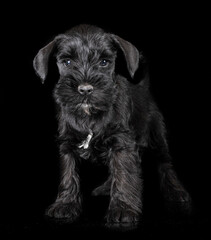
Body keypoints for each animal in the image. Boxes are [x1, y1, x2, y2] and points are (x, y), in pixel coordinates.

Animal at [33, 24, 191, 223]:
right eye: (67, 62)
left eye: (104, 62)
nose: (85, 89)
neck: (89, 117)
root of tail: (144, 89)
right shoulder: (67, 144)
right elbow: (68, 174)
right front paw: (65, 204)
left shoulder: (121, 143)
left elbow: (123, 173)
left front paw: (122, 208)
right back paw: (105, 188)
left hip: (157, 138)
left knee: (165, 164)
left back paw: (176, 192)